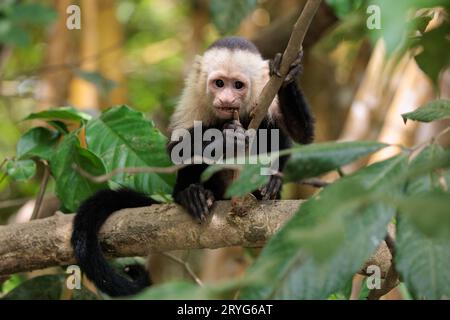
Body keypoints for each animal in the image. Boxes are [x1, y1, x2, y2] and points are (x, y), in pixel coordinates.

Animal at [71, 36, 316, 296]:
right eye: (219, 83)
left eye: (238, 85)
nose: (226, 99)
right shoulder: (193, 97)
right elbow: (176, 148)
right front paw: (226, 136)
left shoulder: (266, 93)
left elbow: (301, 133)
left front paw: (289, 71)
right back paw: (191, 194)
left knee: (271, 129)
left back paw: (267, 186)